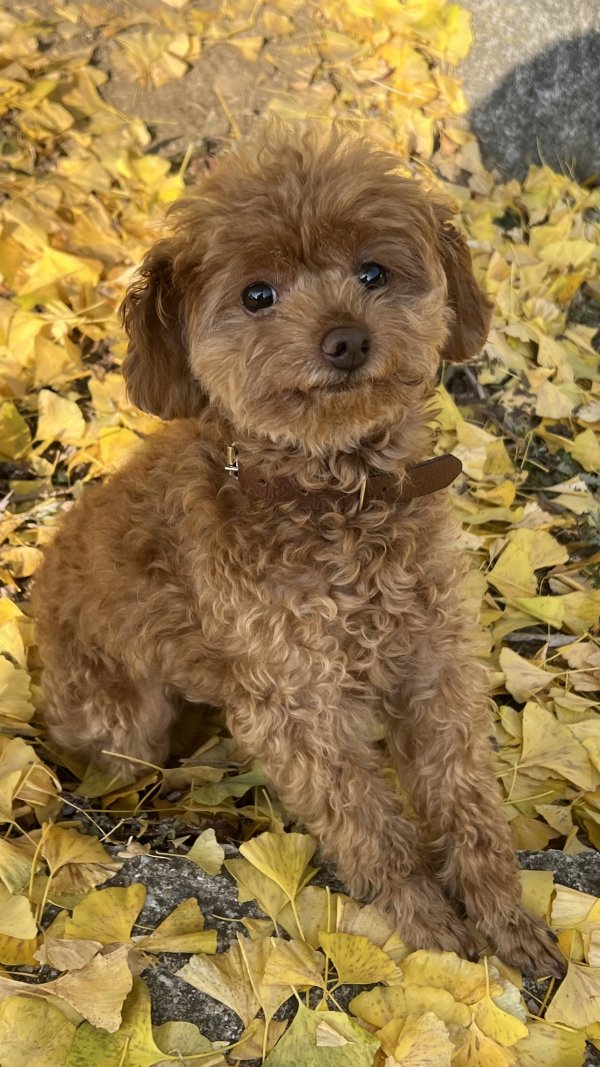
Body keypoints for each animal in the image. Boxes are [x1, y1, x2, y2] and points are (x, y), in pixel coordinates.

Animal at [34, 124, 563, 977]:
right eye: (258, 295)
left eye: (373, 272)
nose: (346, 338)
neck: (338, 501)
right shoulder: (297, 705)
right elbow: (370, 828)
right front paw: (429, 932)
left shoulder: (435, 663)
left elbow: (467, 800)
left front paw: (505, 920)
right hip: (124, 714)